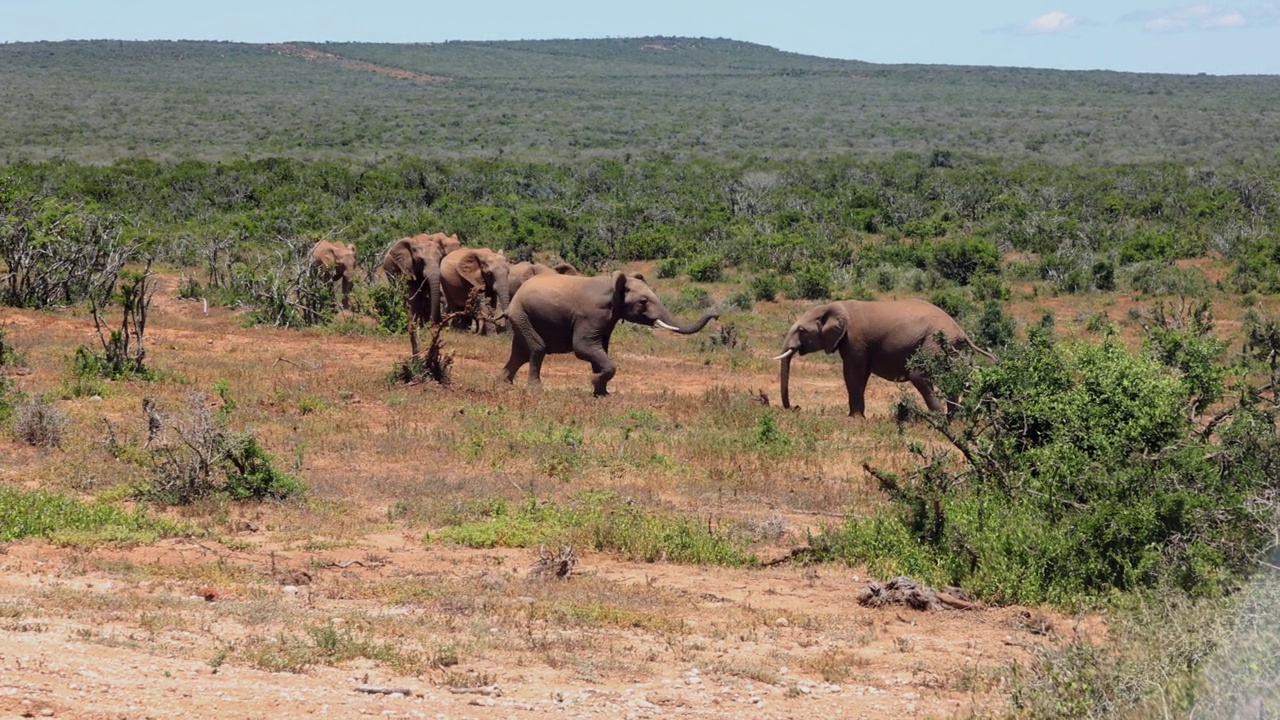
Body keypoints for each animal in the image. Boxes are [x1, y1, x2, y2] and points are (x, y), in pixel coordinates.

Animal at [499, 270, 721, 394]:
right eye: (643, 302)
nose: (716, 314)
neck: (613, 286)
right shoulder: (590, 316)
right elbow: (584, 348)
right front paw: (594, 381)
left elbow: (601, 351)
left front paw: (602, 393)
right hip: (523, 314)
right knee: (537, 348)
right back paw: (536, 391)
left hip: (523, 317)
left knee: (520, 353)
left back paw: (503, 383)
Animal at [773, 297, 993, 417]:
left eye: (801, 330)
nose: (795, 407)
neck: (833, 306)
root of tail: (960, 330)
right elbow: (860, 375)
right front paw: (857, 416)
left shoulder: (854, 339)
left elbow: (853, 373)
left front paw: (855, 418)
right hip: (953, 349)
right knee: (957, 376)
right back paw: (954, 418)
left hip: (933, 343)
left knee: (919, 375)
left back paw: (938, 418)